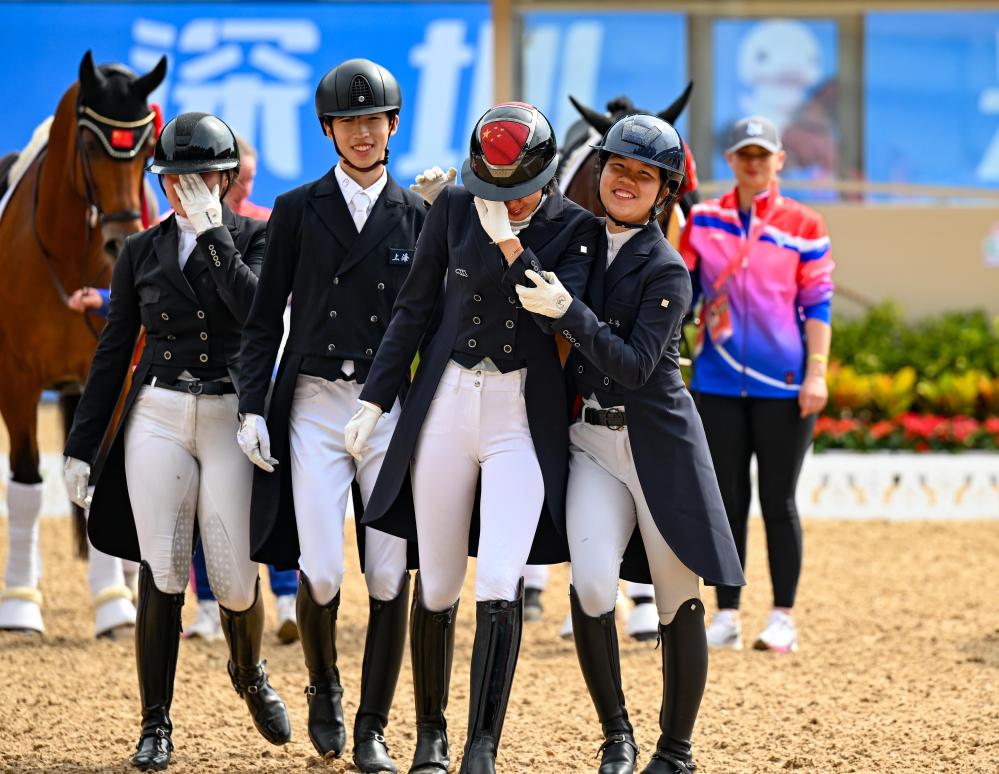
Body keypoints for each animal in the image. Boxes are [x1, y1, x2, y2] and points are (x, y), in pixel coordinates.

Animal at [0, 50, 166, 635]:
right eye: (91, 146)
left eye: (146, 148)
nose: (121, 240)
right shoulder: (18, 382)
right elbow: (27, 486)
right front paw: (20, 605)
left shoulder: (115, 376)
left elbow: (95, 475)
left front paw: (114, 605)